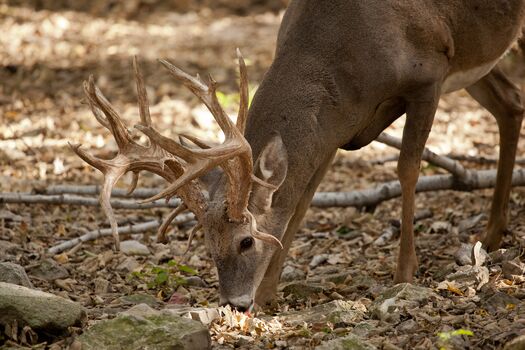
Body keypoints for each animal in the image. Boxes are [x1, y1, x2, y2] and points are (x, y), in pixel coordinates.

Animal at [72, 0, 524, 312]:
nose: (235, 303)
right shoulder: (334, 128)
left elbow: (408, 169)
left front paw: (403, 273)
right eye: (206, 243)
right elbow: (302, 199)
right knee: (510, 103)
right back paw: (492, 232)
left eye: (246, 241)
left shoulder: (428, 77)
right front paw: (269, 292)